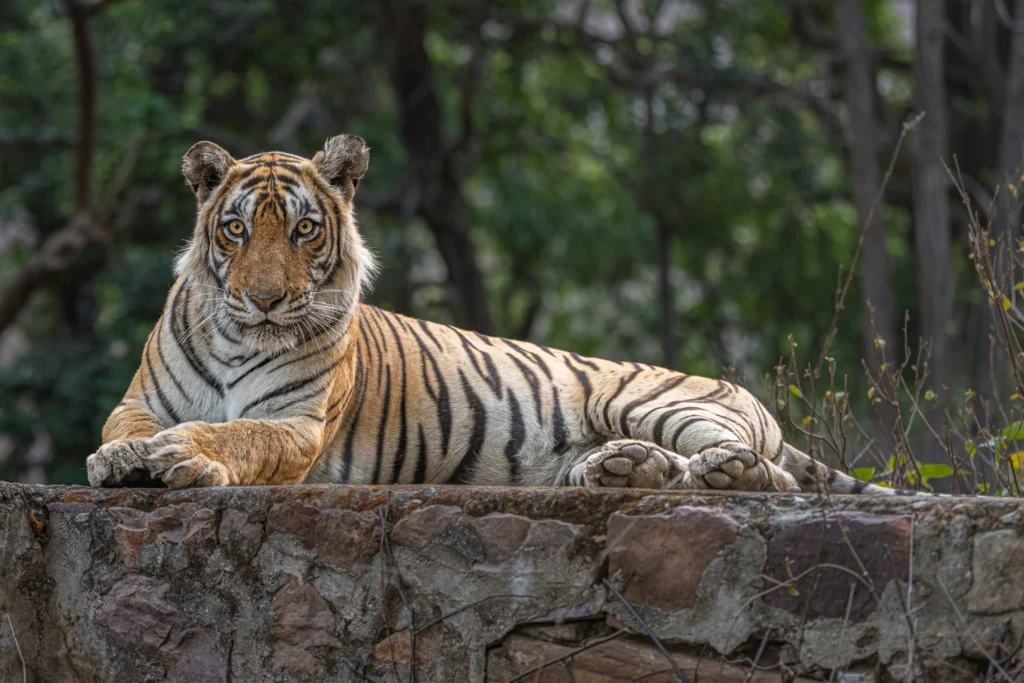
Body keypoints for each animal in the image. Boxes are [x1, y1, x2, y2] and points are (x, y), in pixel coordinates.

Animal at [85, 133, 903, 496]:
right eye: (235, 230)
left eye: (304, 230)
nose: (264, 299)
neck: (236, 336)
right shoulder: (139, 400)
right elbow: (123, 430)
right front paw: (123, 459)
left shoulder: (298, 422)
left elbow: (239, 432)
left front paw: (182, 456)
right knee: (666, 471)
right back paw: (621, 467)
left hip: (654, 400)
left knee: (774, 477)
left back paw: (723, 469)